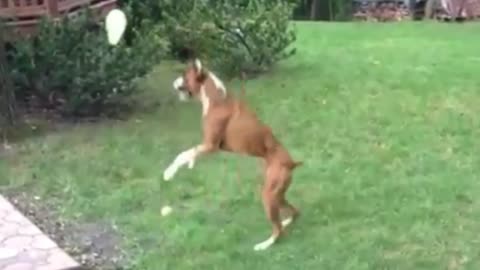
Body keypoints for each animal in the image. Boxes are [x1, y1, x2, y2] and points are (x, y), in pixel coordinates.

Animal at [163, 59, 302, 251]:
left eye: (184, 75)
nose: (174, 81)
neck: (216, 100)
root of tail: (291, 162)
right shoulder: (207, 147)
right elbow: (188, 155)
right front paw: (188, 164)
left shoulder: (210, 146)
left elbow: (182, 155)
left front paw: (169, 173)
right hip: (278, 194)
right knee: (295, 212)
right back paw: (287, 221)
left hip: (269, 194)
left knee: (278, 229)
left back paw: (264, 244)